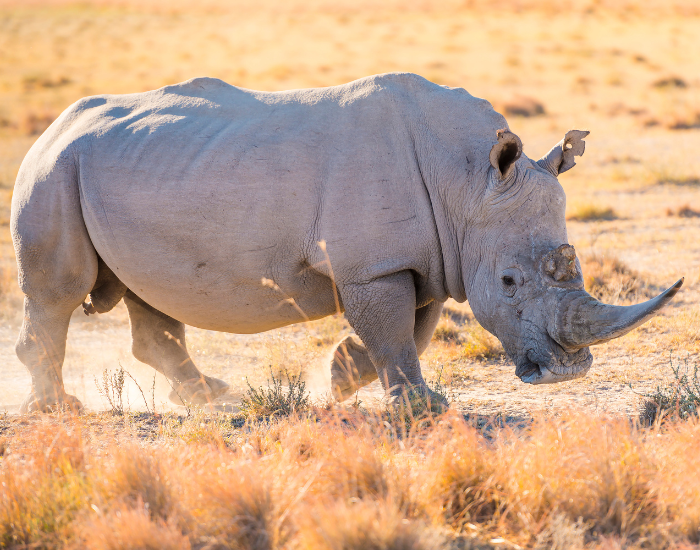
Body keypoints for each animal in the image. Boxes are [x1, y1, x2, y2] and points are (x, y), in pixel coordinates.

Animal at [11, 73, 682, 413]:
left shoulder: (420, 259)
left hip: (119, 171)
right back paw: (58, 410)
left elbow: (410, 329)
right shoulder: (375, 265)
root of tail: (53, 126)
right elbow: (395, 332)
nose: (566, 374)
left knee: (149, 293)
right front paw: (424, 409)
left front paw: (339, 379)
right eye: (510, 283)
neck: (468, 181)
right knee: (59, 293)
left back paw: (210, 396)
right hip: (54, 170)